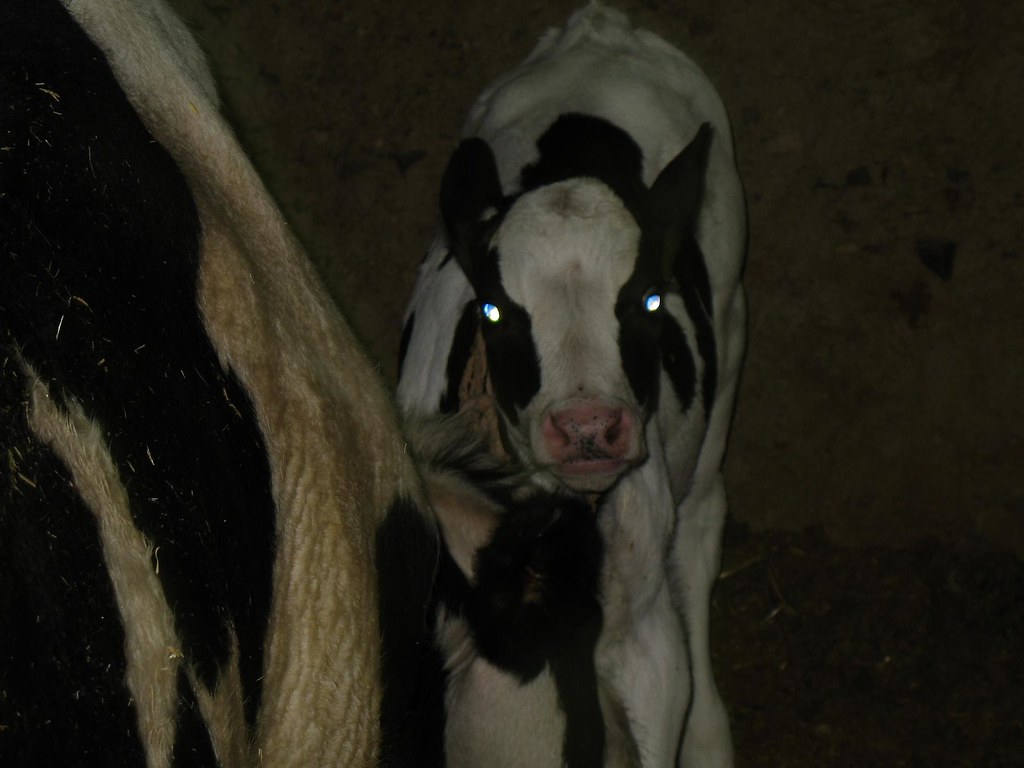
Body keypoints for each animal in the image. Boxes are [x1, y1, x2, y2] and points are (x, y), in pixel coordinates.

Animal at [397, 4, 746, 767]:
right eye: (494, 309)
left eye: (648, 298)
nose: (588, 427)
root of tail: (599, 27)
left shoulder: (648, 647)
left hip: (730, 339)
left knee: (702, 524)